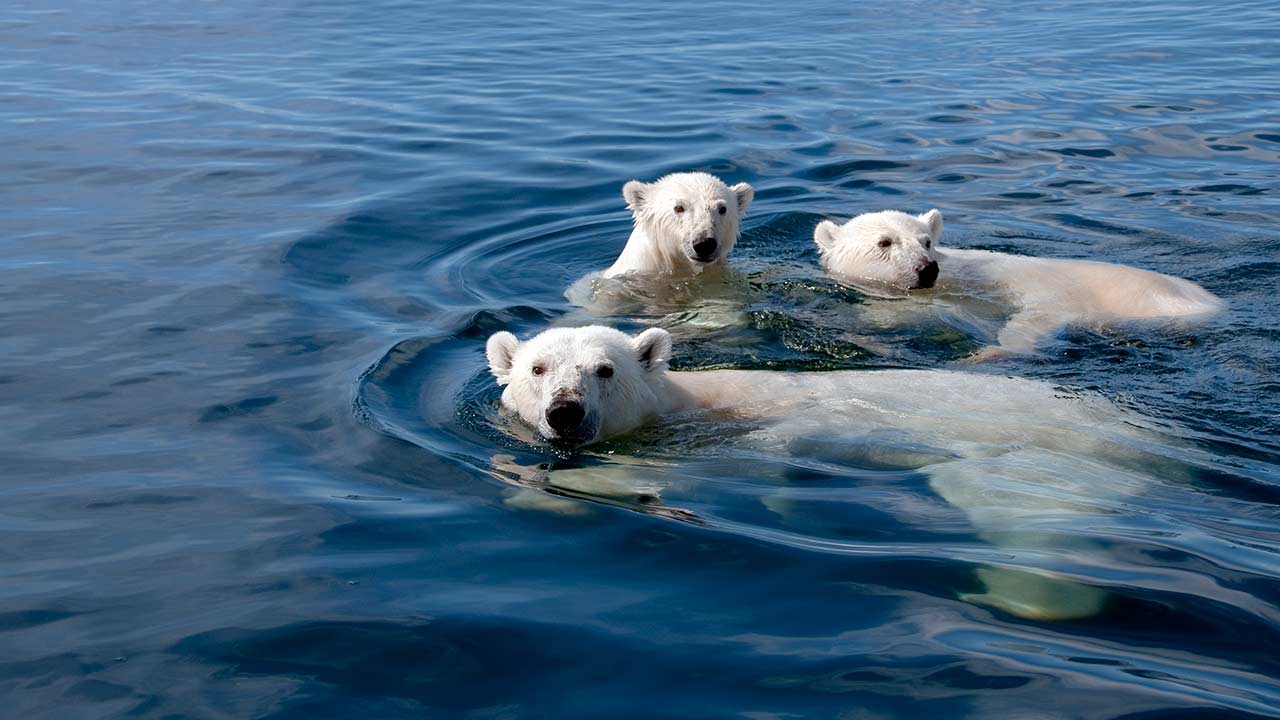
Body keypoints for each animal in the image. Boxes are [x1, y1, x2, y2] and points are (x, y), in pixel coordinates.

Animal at [488, 324, 1172, 617]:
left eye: (604, 370)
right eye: (539, 369)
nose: (565, 414)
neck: (690, 406)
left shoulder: (735, 436)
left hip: (1040, 458)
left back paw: (1033, 597)